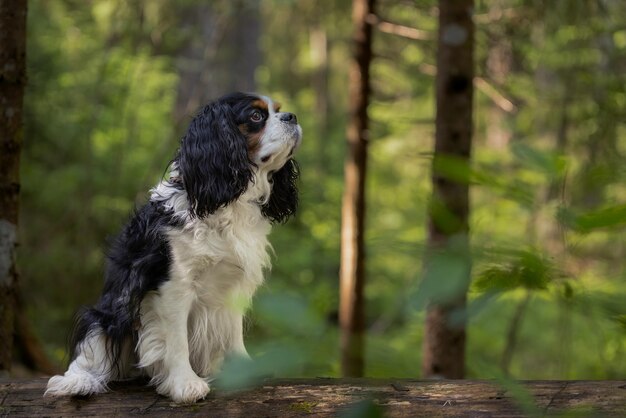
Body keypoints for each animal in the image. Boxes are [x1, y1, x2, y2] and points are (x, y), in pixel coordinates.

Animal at [45, 93, 302, 404]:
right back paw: (79, 382)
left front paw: (243, 370)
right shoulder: (174, 286)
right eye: (256, 116)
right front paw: (185, 384)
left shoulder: (234, 286)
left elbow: (233, 332)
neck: (229, 201)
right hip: (108, 314)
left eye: (278, 110)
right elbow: (177, 342)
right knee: (91, 355)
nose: (292, 117)